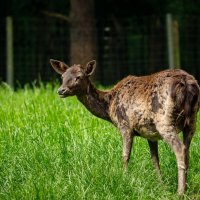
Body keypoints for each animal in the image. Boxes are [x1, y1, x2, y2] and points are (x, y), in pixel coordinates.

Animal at [50, 58, 200, 195]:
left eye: (79, 77)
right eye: (62, 77)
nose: (61, 90)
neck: (109, 106)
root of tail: (185, 84)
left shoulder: (125, 125)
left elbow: (125, 155)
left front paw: (125, 179)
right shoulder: (150, 134)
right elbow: (155, 159)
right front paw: (161, 185)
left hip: (164, 121)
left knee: (180, 149)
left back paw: (180, 192)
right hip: (192, 121)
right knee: (187, 150)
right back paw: (185, 187)